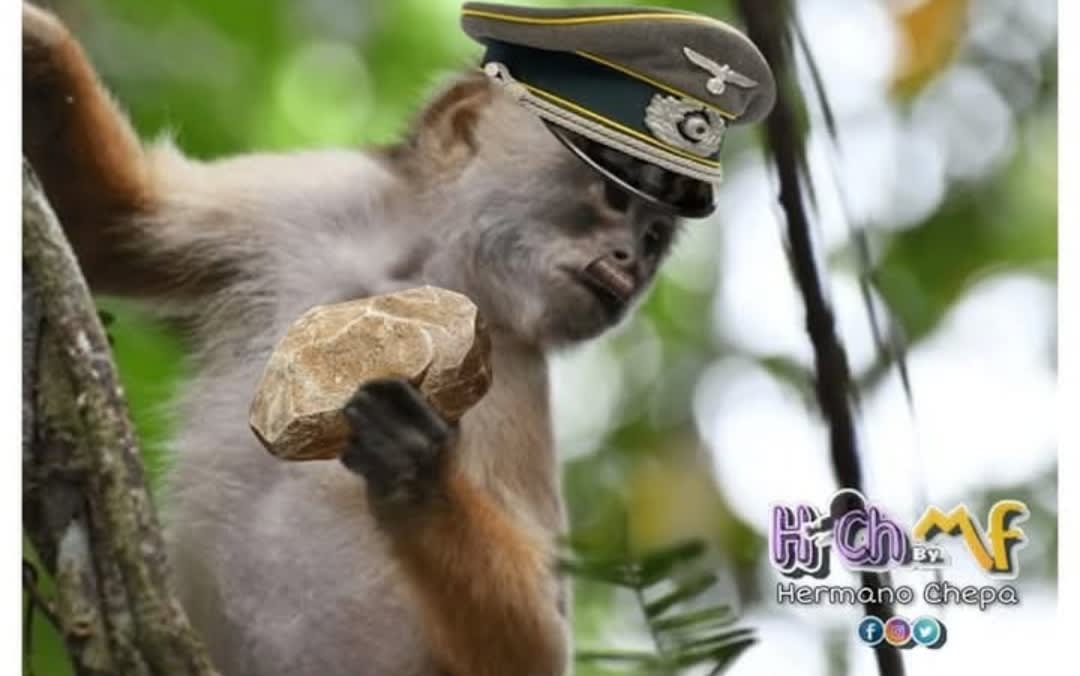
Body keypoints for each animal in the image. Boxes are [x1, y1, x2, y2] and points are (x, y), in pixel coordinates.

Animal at [23, 4, 695, 675]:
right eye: (614, 194)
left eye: (653, 237)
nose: (632, 260)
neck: (417, 280)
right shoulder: (318, 201)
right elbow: (114, 225)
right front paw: (38, 51)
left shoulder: (513, 372)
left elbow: (536, 652)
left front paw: (413, 467)